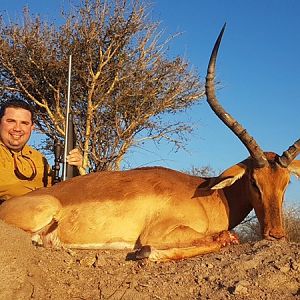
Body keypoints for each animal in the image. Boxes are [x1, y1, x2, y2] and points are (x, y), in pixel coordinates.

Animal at [0, 25, 298, 260]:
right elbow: (225, 238)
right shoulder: (161, 232)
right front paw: (145, 252)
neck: (209, 195)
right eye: (254, 181)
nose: (276, 235)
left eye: (286, 183)